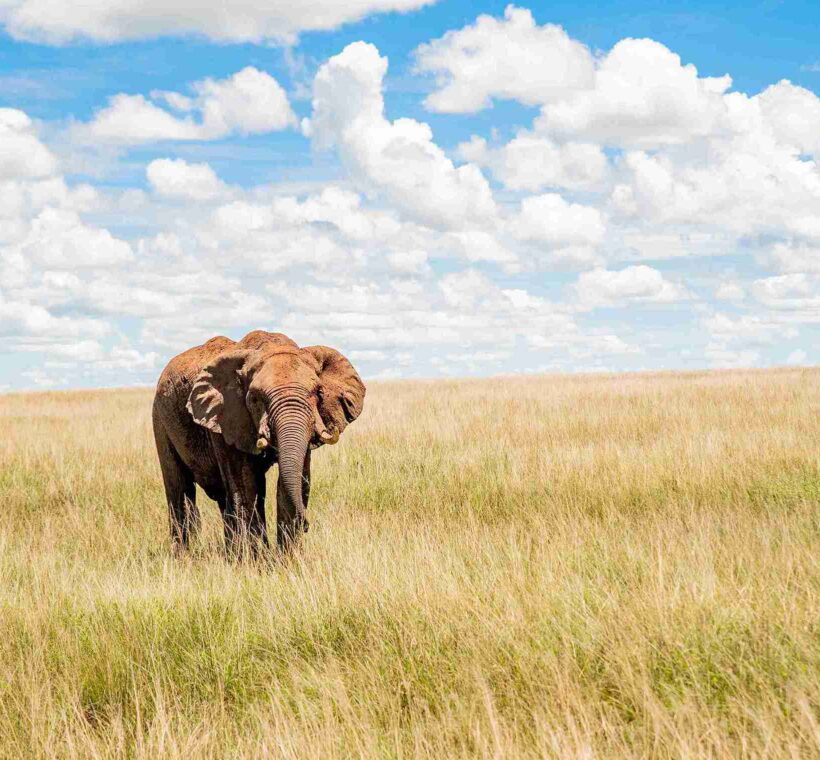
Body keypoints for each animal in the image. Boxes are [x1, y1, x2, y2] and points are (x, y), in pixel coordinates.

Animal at [152, 330, 365, 556]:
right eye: (255, 398)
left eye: (318, 392)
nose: (307, 525)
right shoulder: (227, 421)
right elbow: (246, 486)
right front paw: (257, 560)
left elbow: (296, 481)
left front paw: (288, 559)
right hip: (160, 418)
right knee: (179, 489)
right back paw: (184, 557)